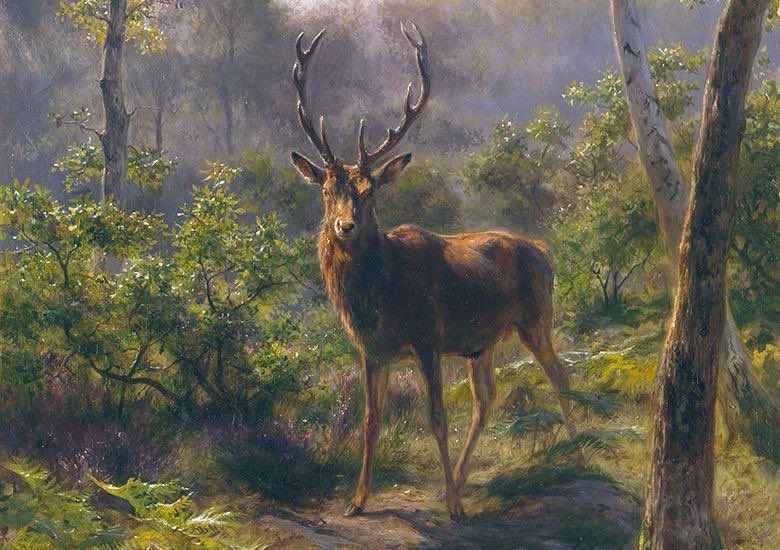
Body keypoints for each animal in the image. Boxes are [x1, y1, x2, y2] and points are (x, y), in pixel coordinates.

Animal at [290, 22, 574, 521]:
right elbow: (370, 420)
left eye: (370, 190)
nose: (345, 226)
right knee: (485, 400)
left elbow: (437, 418)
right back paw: (455, 481)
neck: (379, 300)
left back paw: (581, 447)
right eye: (327, 189)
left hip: (537, 319)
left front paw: (457, 510)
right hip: (481, 346)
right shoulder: (372, 351)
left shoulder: (428, 337)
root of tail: (544, 250)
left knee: (560, 376)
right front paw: (357, 501)